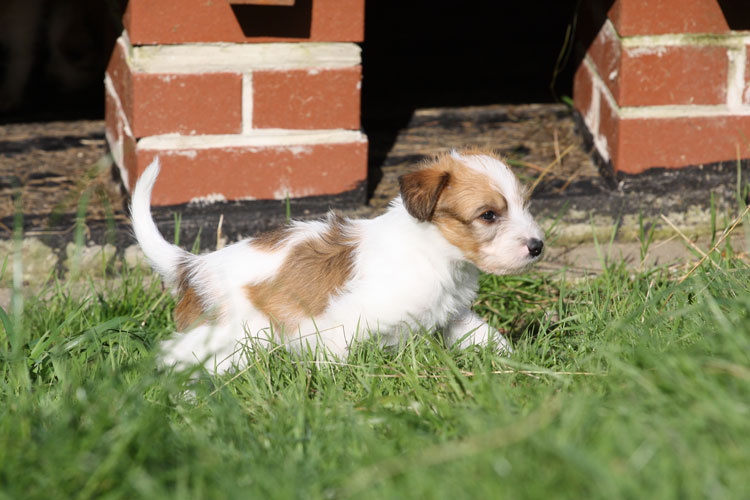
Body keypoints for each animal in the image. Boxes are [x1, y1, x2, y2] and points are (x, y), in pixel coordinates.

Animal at [131, 149, 544, 373]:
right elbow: (336, 362)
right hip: (227, 337)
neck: (434, 253)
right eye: (489, 215)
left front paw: (517, 362)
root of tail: (192, 266)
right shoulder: (339, 324)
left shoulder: (451, 315)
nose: (538, 246)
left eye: (525, 205)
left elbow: (483, 334)